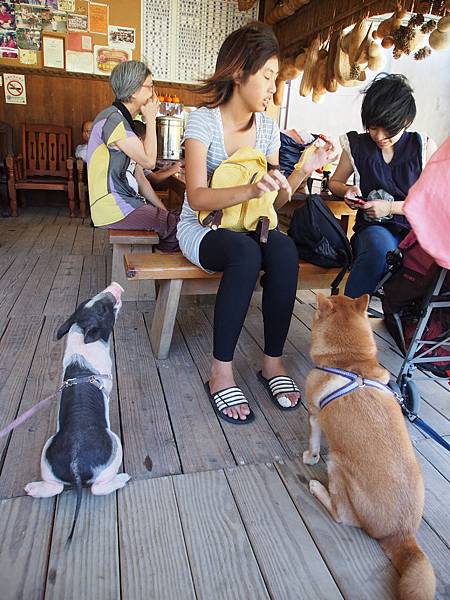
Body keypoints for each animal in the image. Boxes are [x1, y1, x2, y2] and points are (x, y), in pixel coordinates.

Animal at [24, 282, 129, 540]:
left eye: (91, 302)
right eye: (104, 309)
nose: (114, 287)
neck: (83, 334)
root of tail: (76, 465)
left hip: (48, 455)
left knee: (55, 487)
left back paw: (32, 489)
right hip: (114, 446)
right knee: (99, 488)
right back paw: (122, 479)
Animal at [304, 292, 434, 596]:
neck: (349, 363)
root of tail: (402, 534)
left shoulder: (314, 415)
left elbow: (313, 443)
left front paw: (309, 457)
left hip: (337, 465)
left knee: (341, 515)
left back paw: (317, 488)